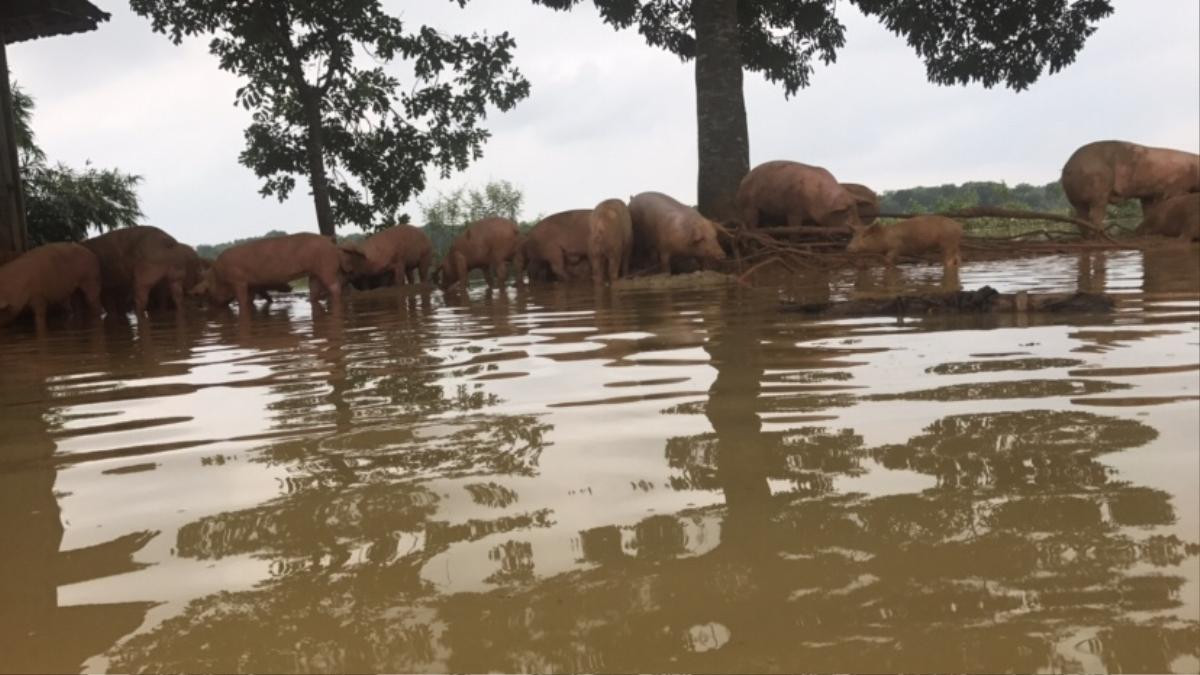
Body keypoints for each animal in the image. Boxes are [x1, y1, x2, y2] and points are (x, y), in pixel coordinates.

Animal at [202, 229, 348, 306]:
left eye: (208, 290)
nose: (214, 304)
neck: (218, 274)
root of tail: (329, 241)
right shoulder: (252, 285)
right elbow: (252, 299)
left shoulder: (238, 281)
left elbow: (242, 299)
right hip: (314, 272)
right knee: (314, 289)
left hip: (326, 266)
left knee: (335, 286)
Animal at [729, 159, 864, 228]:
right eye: (846, 214)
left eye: (857, 212)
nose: (859, 227)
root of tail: (742, 183)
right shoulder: (793, 210)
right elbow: (795, 226)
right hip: (749, 206)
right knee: (751, 222)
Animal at [1065, 140, 1195, 227]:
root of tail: (1068, 168)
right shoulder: (1175, 187)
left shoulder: (1147, 194)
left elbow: (1148, 210)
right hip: (1099, 185)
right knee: (1095, 214)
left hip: (1076, 198)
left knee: (1081, 217)